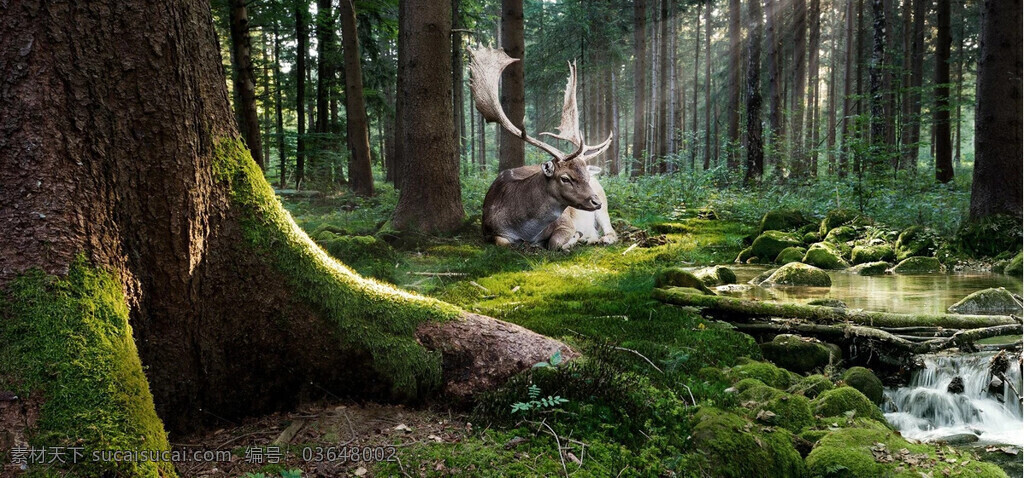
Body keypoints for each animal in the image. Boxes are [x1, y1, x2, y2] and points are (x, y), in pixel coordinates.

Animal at [470, 47, 616, 250]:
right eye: (565, 178)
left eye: (586, 176)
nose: (596, 201)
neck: (526, 230)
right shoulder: (489, 230)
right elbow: (503, 242)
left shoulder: (566, 222)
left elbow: (554, 242)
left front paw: (573, 238)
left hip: (604, 201)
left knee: (611, 230)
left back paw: (599, 238)